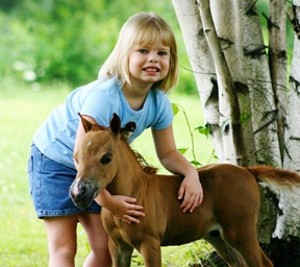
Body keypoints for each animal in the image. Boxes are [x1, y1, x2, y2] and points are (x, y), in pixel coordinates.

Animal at [69, 114, 298, 266]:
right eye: (76, 158)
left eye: (106, 158)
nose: (78, 193)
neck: (135, 193)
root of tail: (247, 171)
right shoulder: (118, 246)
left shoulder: (150, 244)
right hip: (218, 236)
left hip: (241, 233)